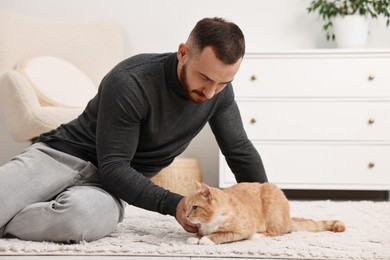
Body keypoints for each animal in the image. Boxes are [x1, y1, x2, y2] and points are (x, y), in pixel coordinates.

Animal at [187, 182, 346, 245]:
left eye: (195, 207)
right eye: (187, 207)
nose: (187, 216)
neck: (209, 222)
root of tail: (288, 217)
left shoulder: (241, 230)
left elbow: (221, 234)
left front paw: (207, 239)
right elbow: (200, 233)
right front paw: (196, 238)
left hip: (272, 211)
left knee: (278, 231)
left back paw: (259, 235)